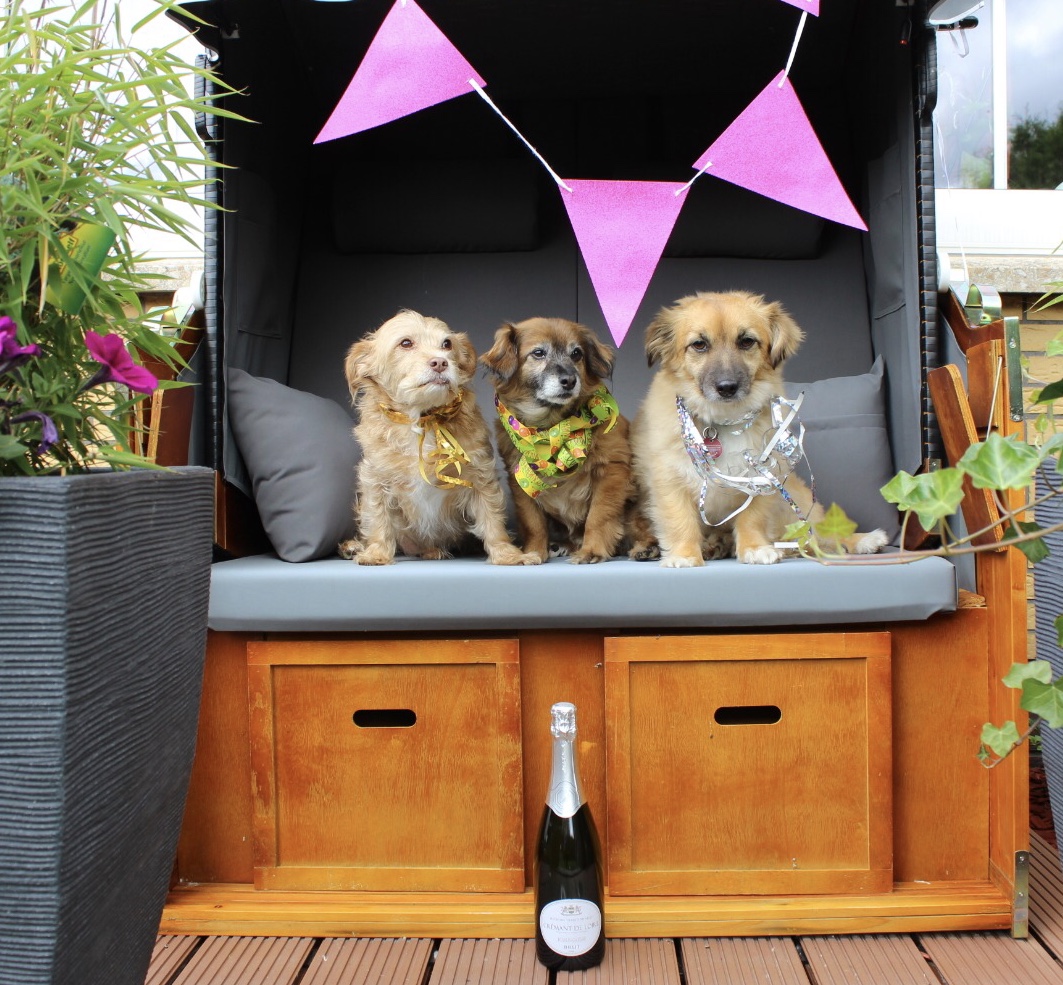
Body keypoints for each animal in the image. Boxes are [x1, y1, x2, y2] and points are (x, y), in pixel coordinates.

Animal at [340, 310, 539, 566]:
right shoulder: (375, 480)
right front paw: (376, 553)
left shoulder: (481, 476)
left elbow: (492, 519)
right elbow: (377, 518)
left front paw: (507, 554)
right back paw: (353, 547)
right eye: (406, 343)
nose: (441, 362)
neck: (421, 419)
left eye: (447, 344)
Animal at [481, 317, 636, 564]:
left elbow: (599, 515)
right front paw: (533, 551)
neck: (551, 429)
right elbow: (533, 522)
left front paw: (593, 550)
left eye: (577, 354)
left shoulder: (612, 470)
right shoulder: (520, 480)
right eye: (538, 353)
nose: (570, 380)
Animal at [629, 291, 888, 566]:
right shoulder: (670, 481)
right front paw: (684, 555)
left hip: (796, 498)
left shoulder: (763, 476)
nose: (727, 387)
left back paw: (864, 540)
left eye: (746, 341)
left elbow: (753, 519)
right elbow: (679, 522)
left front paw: (754, 548)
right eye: (699, 344)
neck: (722, 421)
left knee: (821, 532)